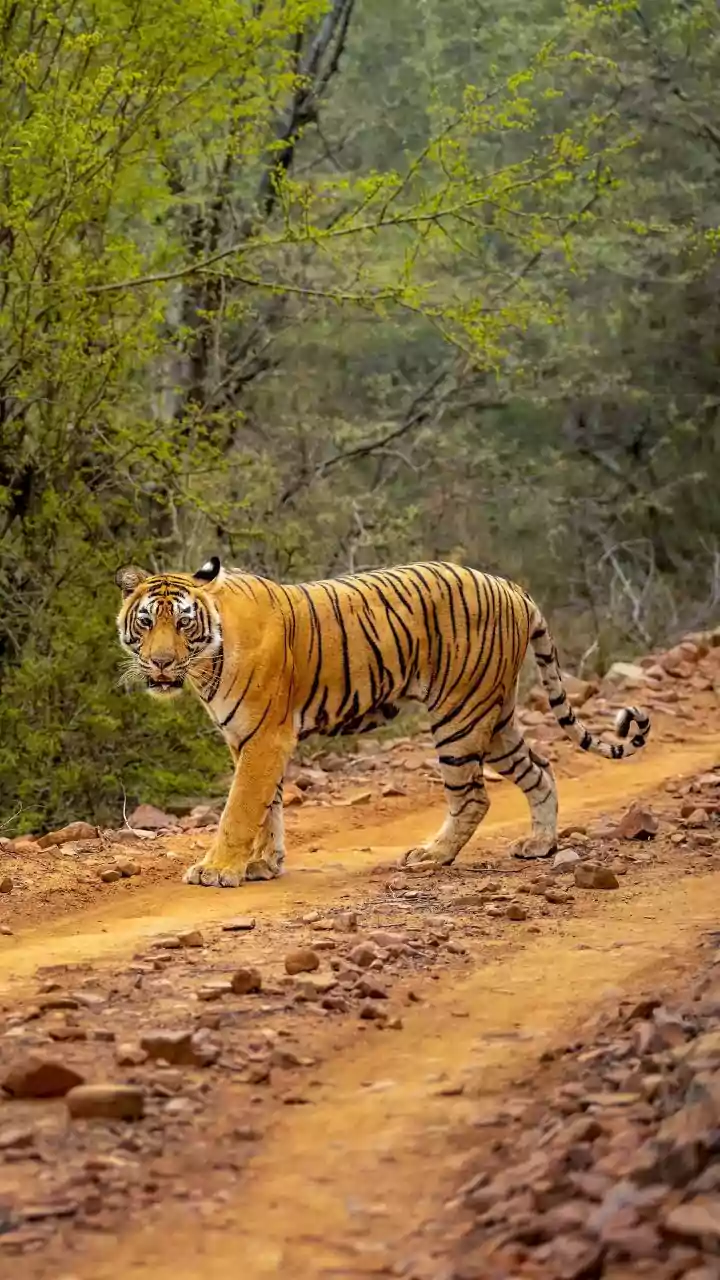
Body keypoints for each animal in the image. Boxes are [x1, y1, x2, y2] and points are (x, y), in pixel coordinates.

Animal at [115, 557, 650, 888]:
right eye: (146, 622)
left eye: (184, 622)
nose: (161, 663)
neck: (209, 659)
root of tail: (511, 587)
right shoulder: (246, 739)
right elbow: (267, 807)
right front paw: (263, 864)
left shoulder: (266, 736)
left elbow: (240, 810)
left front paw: (217, 869)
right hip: (495, 717)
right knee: (539, 770)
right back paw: (539, 844)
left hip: (459, 714)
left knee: (474, 796)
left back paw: (432, 856)